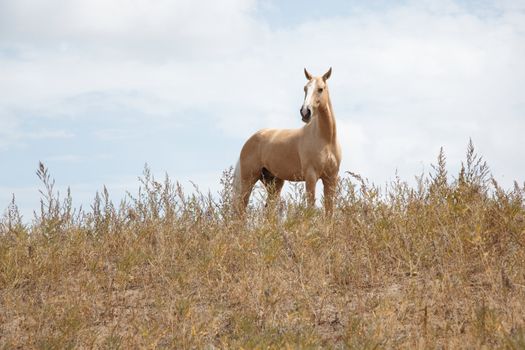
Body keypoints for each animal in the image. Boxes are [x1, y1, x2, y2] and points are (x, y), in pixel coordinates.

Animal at [232, 66, 340, 216]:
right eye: (305, 88)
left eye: (320, 89)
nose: (305, 112)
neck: (326, 140)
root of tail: (250, 139)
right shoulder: (311, 177)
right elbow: (310, 208)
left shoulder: (331, 178)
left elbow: (329, 211)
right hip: (248, 180)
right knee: (241, 208)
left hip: (274, 183)